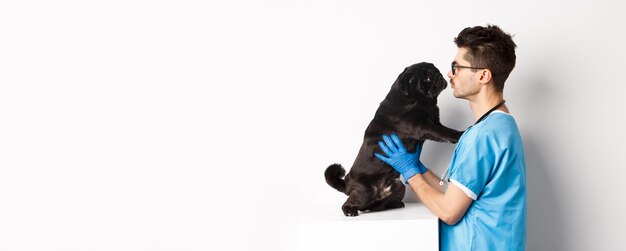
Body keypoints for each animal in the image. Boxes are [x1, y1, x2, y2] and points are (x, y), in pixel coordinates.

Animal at [324, 62, 460, 216]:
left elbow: (444, 129)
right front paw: (460, 134)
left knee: (375, 206)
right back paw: (350, 210)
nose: (439, 75)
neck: (419, 100)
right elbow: (444, 132)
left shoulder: (435, 122)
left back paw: (395, 204)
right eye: (428, 78)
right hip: (365, 190)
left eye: (436, 72)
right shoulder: (423, 126)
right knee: (351, 203)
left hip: (399, 186)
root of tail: (346, 182)